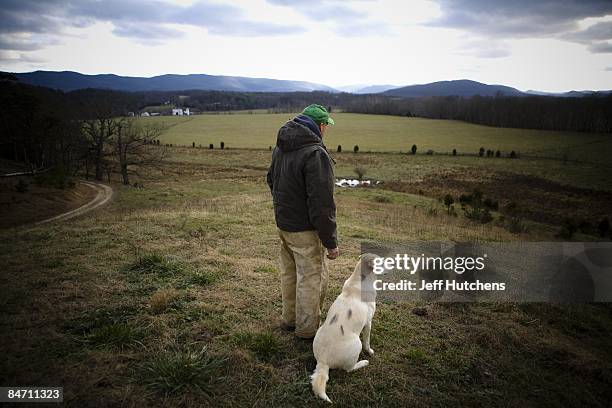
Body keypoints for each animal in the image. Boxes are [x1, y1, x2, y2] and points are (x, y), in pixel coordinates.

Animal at [314, 253, 380, 404]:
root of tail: (323, 361)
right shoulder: (368, 323)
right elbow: (368, 342)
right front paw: (370, 352)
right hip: (357, 344)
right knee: (349, 369)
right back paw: (363, 362)